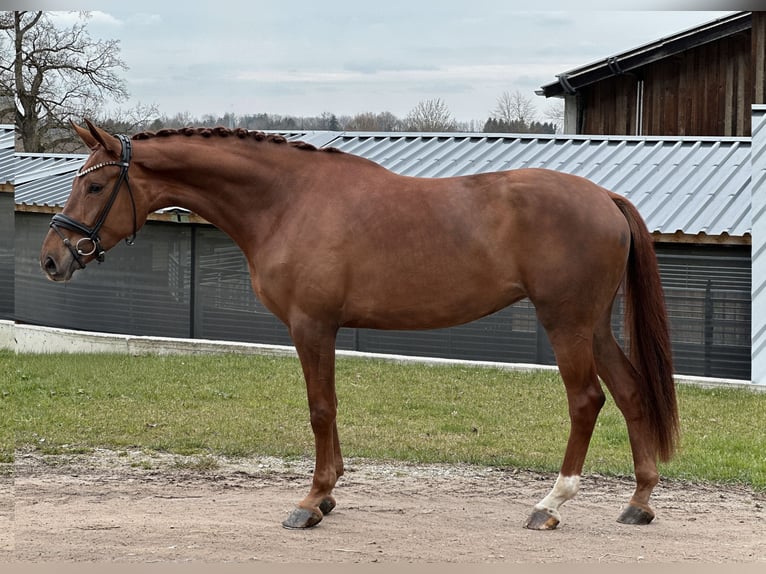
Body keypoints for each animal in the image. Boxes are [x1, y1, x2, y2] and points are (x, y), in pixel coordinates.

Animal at [40, 120, 679, 531]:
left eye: (94, 185)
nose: (52, 258)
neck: (287, 200)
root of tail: (604, 197)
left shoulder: (311, 325)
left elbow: (320, 408)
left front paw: (312, 500)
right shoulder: (320, 327)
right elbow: (329, 407)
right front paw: (327, 497)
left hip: (566, 322)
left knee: (586, 400)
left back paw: (551, 504)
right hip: (593, 326)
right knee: (630, 392)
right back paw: (639, 502)